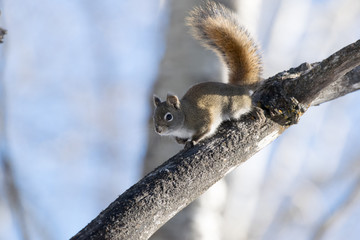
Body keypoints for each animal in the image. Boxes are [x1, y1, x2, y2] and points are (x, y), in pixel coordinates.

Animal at [152, 0, 262, 146]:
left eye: (168, 116)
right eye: (154, 115)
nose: (158, 130)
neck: (185, 115)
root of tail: (237, 86)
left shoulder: (204, 118)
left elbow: (206, 129)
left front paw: (193, 140)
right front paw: (181, 140)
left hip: (234, 106)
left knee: (247, 104)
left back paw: (255, 110)